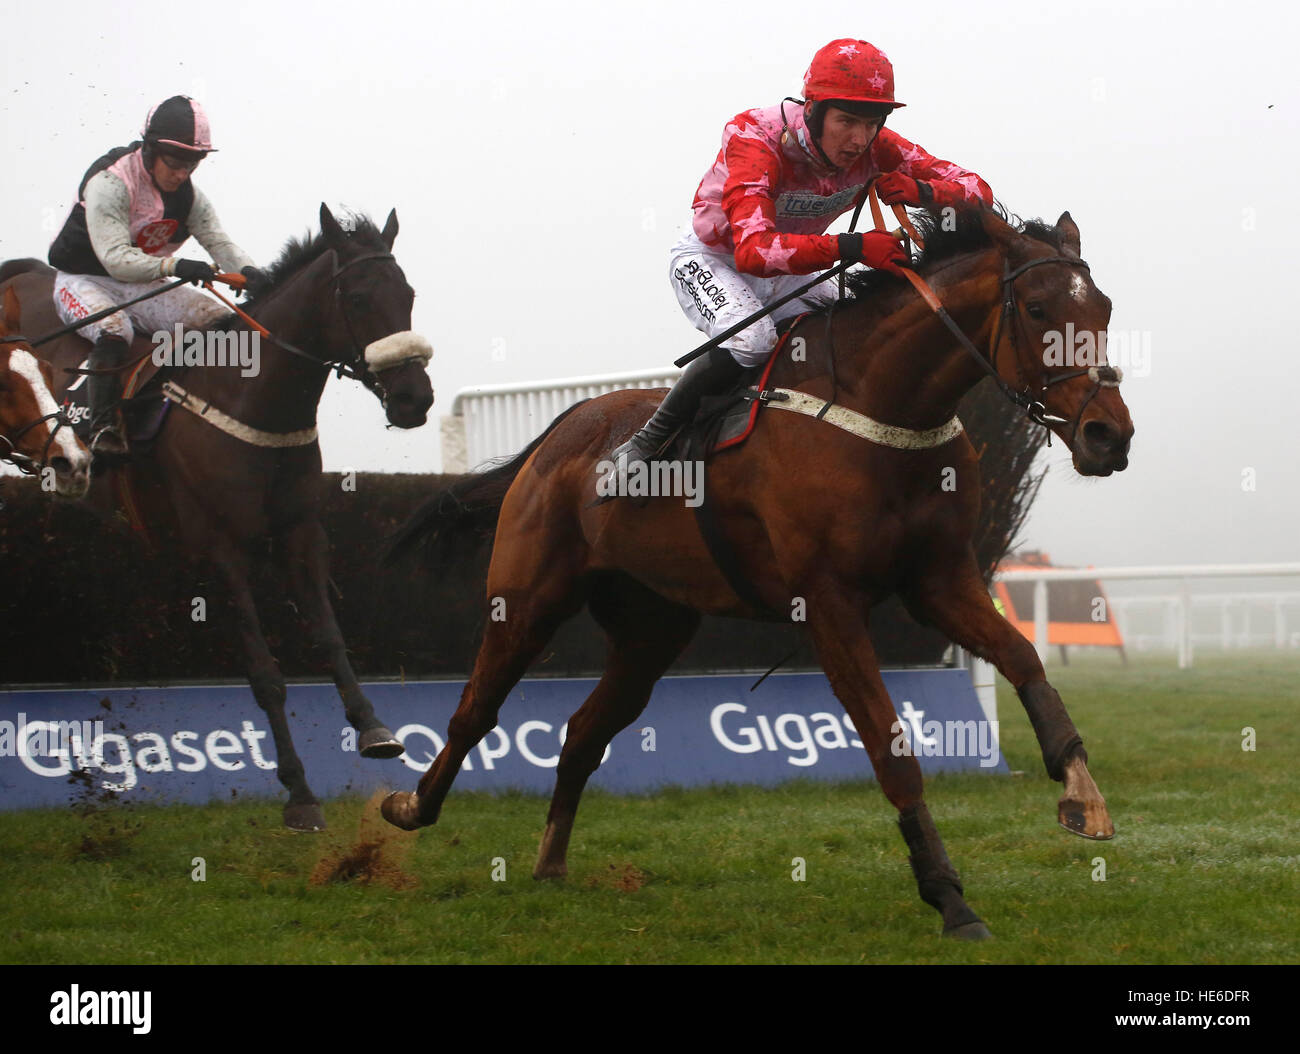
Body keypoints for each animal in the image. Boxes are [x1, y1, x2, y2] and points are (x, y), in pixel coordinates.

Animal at [382, 206, 1128, 940]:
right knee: (475, 710)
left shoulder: (939, 579)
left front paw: (1082, 793)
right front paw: (949, 897)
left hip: (652, 626)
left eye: (1105, 309)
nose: (1109, 436)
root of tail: (558, 434)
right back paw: (409, 809)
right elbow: (891, 749)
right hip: (527, 597)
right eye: (1037, 308)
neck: (880, 408)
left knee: (585, 730)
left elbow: (1024, 658)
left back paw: (551, 864)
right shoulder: (827, 603)